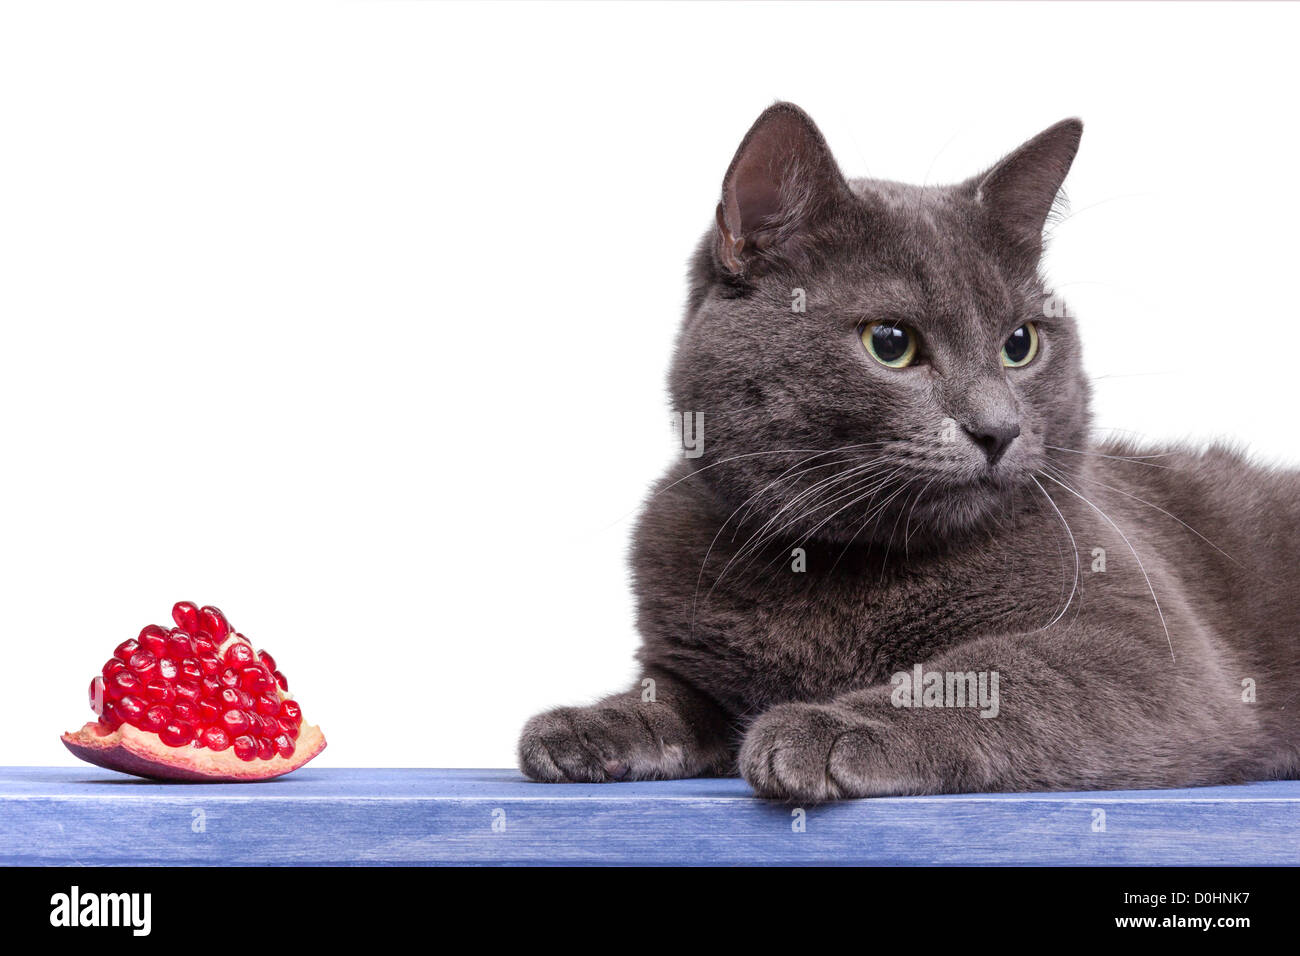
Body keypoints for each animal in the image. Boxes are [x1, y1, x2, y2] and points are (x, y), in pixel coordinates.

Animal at [517, 102, 1300, 801]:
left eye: (1021, 343)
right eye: (889, 343)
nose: (997, 429)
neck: (835, 571)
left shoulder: (1147, 651)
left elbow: (988, 673)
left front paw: (826, 727)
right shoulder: (686, 653)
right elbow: (670, 693)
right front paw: (587, 724)